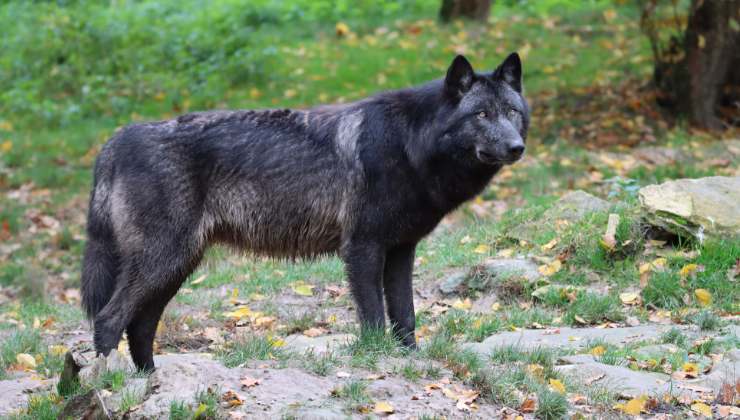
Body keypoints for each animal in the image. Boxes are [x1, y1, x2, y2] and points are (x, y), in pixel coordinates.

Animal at [81, 53, 529, 371]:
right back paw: (108, 385)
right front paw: (377, 360)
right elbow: (374, 317)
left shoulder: (402, 251)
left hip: (176, 266)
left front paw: (411, 361)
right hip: (163, 261)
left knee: (140, 325)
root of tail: (117, 139)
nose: (516, 147)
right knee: (108, 319)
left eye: (512, 112)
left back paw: (149, 380)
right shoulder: (362, 248)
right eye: (481, 114)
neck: (409, 144)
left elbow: (406, 316)